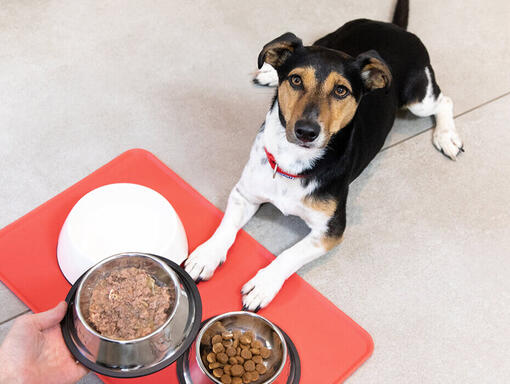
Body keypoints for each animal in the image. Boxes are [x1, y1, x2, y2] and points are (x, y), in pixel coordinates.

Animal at [183, 0, 462, 310]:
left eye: (341, 90)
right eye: (295, 80)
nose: (306, 131)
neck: (294, 161)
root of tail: (394, 27)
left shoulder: (331, 231)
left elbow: (290, 254)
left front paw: (264, 284)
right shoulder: (245, 194)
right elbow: (226, 227)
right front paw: (206, 255)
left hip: (418, 98)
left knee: (444, 101)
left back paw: (446, 136)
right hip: (325, 39)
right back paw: (269, 73)